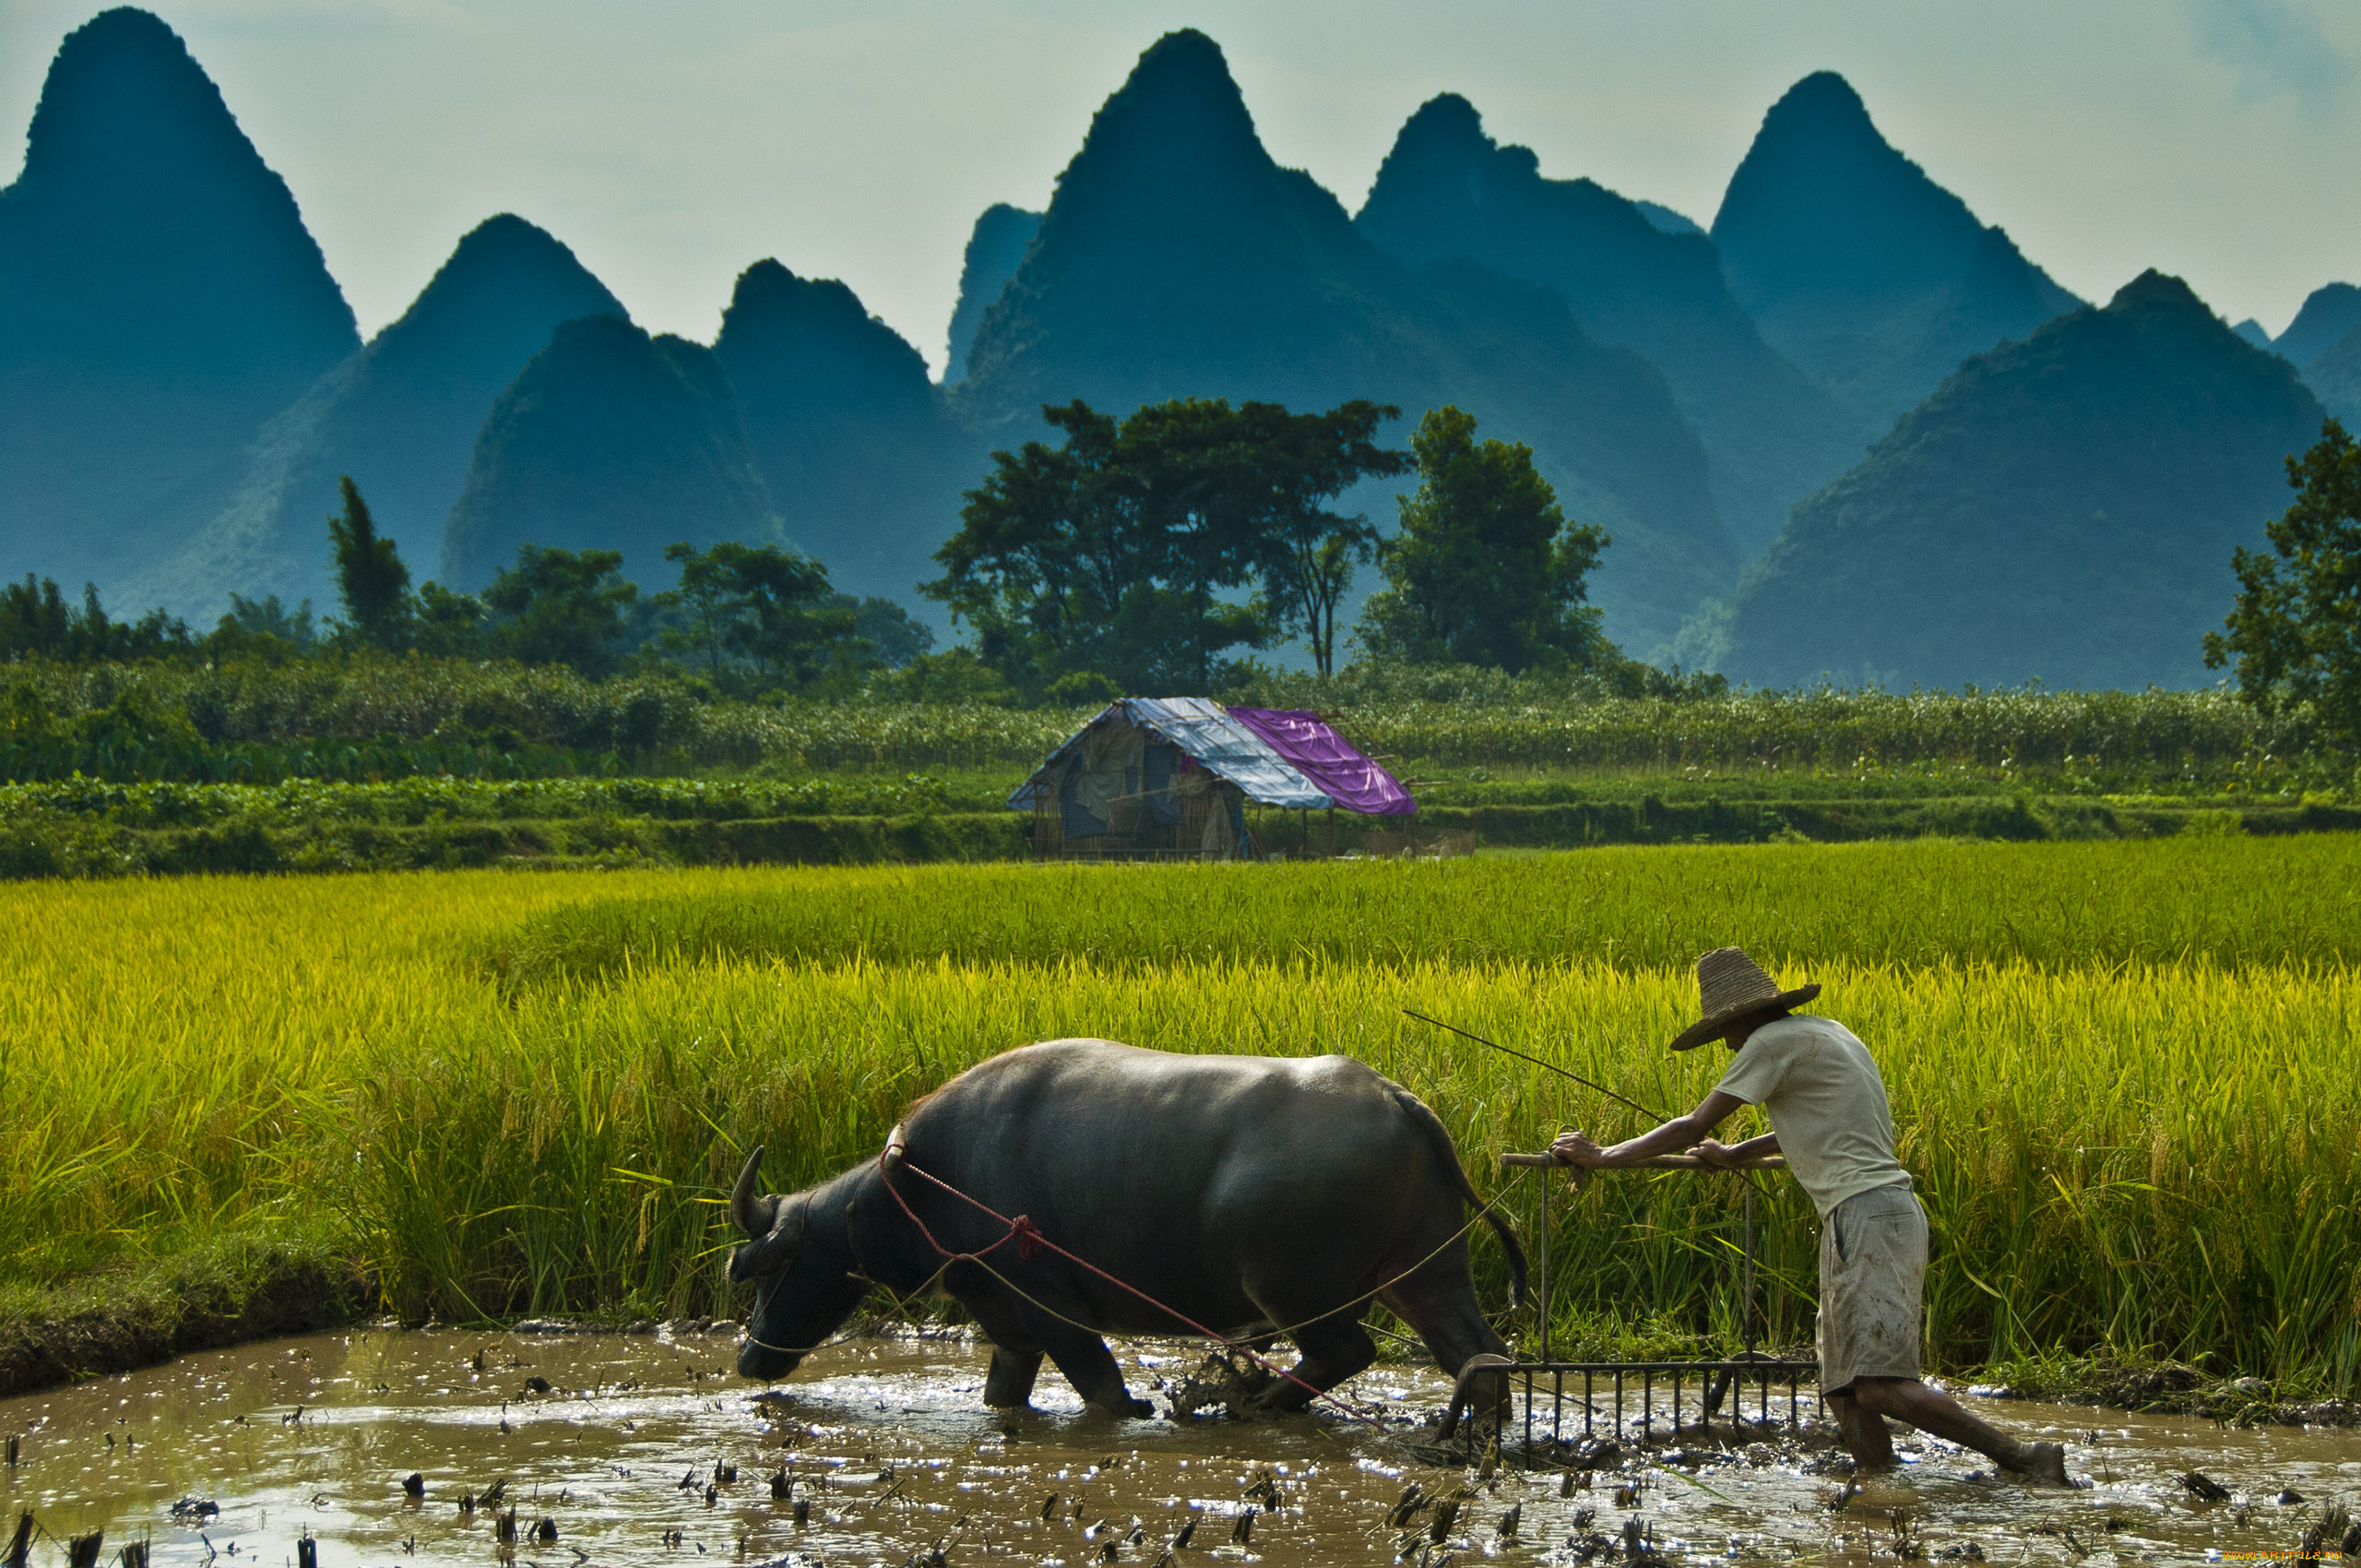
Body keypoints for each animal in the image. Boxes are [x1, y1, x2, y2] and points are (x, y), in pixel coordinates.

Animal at [727, 1034, 1520, 1417]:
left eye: (770, 1266)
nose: (749, 1358)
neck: (921, 1180)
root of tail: (1396, 1099)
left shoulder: (1048, 1302)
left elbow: (1104, 1390)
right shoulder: (1006, 1322)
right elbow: (1003, 1393)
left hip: (1291, 1288)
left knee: (1348, 1351)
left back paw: (1256, 1403)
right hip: (1425, 1272)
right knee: (1477, 1357)